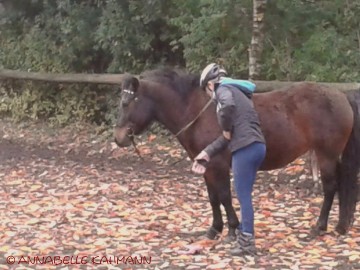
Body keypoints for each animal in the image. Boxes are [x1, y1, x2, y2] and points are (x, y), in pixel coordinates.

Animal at [114, 68, 360, 240]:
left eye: (126, 103)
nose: (119, 138)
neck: (197, 112)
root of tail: (342, 96)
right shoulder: (206, 166)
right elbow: (213, 197)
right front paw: (214, 229)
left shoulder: (219, 165)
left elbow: (224, 196)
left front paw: (232, 229)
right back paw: (340, 225)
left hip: (326, 155)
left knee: (330, 188)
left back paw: (320, 227)